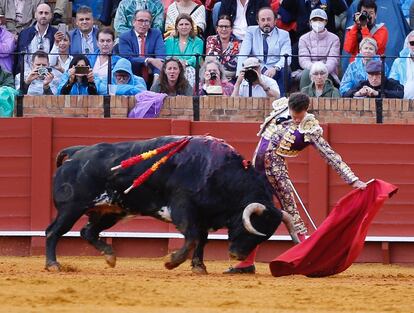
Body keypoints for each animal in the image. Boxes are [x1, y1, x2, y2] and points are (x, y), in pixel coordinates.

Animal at [47, 135, 296, 272]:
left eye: (263, 237)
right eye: (250, 229)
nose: (237, 257)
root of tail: (76, 153)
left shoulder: (204, 216)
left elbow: (201, 240)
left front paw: (199, 267)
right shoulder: (183, 209)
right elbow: (192, 237)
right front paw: (171, 262)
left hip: (110, 211)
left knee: (87, 232)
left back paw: (110, 256)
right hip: (71, 209)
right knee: (54, 232)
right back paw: (53, 265)